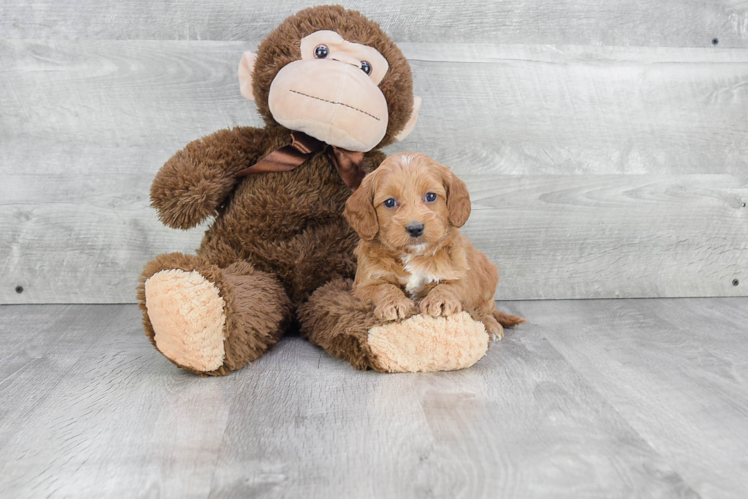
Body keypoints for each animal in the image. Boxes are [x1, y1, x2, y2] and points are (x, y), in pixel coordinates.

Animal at [344, 153, 524, 340]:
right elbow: (383, 287)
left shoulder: (459, 273)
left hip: (487, 276)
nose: (415, 228)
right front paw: (394, 303)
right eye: (389, 202)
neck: (413, 255)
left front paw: (440, 300)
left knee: (484, 308)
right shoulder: (363, 285)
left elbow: (450, 286)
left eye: (430, 196)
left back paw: (490, 324)